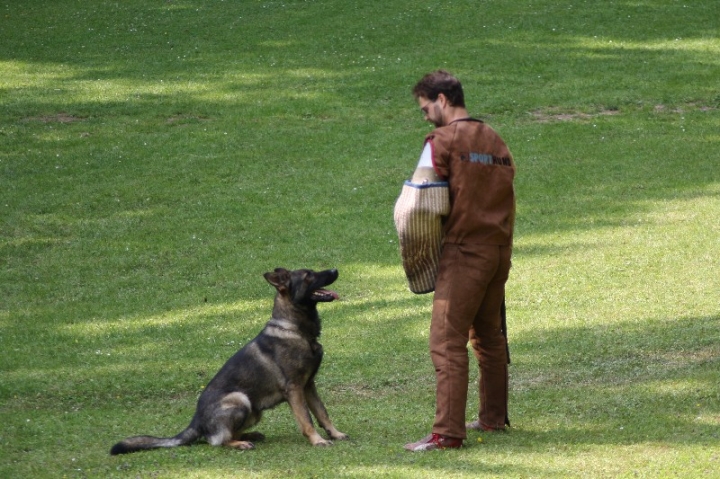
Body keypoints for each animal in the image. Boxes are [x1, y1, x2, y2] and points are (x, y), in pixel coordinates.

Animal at [109, 268, 348, 456]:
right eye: (309, 276)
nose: (335, 269)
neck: (294, 328)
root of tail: (196, 421)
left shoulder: (309, 386)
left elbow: (322, 413)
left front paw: (335, 434)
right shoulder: (295, 389)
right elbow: (307, 419)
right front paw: (317, 440)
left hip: (254, 411)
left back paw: (250, 436)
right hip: (240, 400)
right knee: (216, 440)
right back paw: (240, 443)